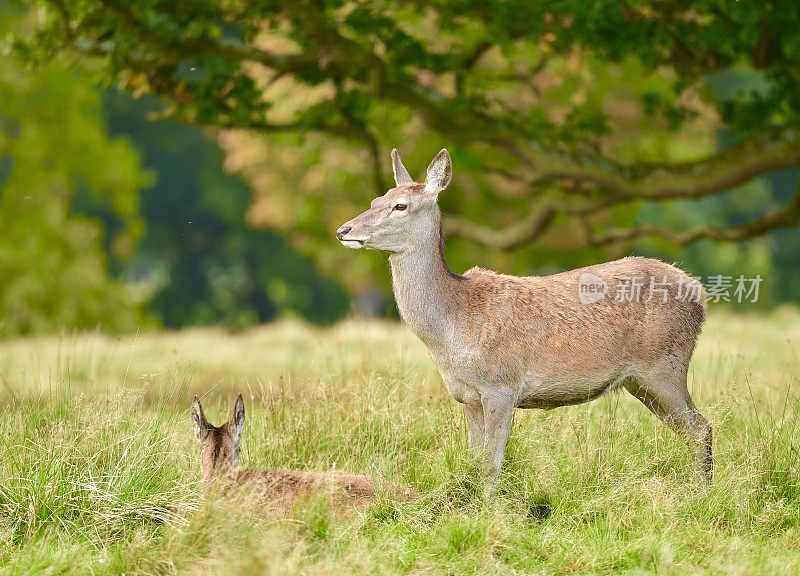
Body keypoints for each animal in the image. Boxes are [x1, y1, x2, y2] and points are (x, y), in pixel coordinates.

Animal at [336, 147, 712, 490]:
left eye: (400, 205)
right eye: (376, 198)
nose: (344, 229)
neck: (452, 329)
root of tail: (699, 293)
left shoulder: (501, 385)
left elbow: (491, 465)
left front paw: (487, 512)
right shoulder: (468, 396)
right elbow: (473, 461)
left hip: (664, 365)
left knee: (701, 428)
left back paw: (701, 494)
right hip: (641, 381)